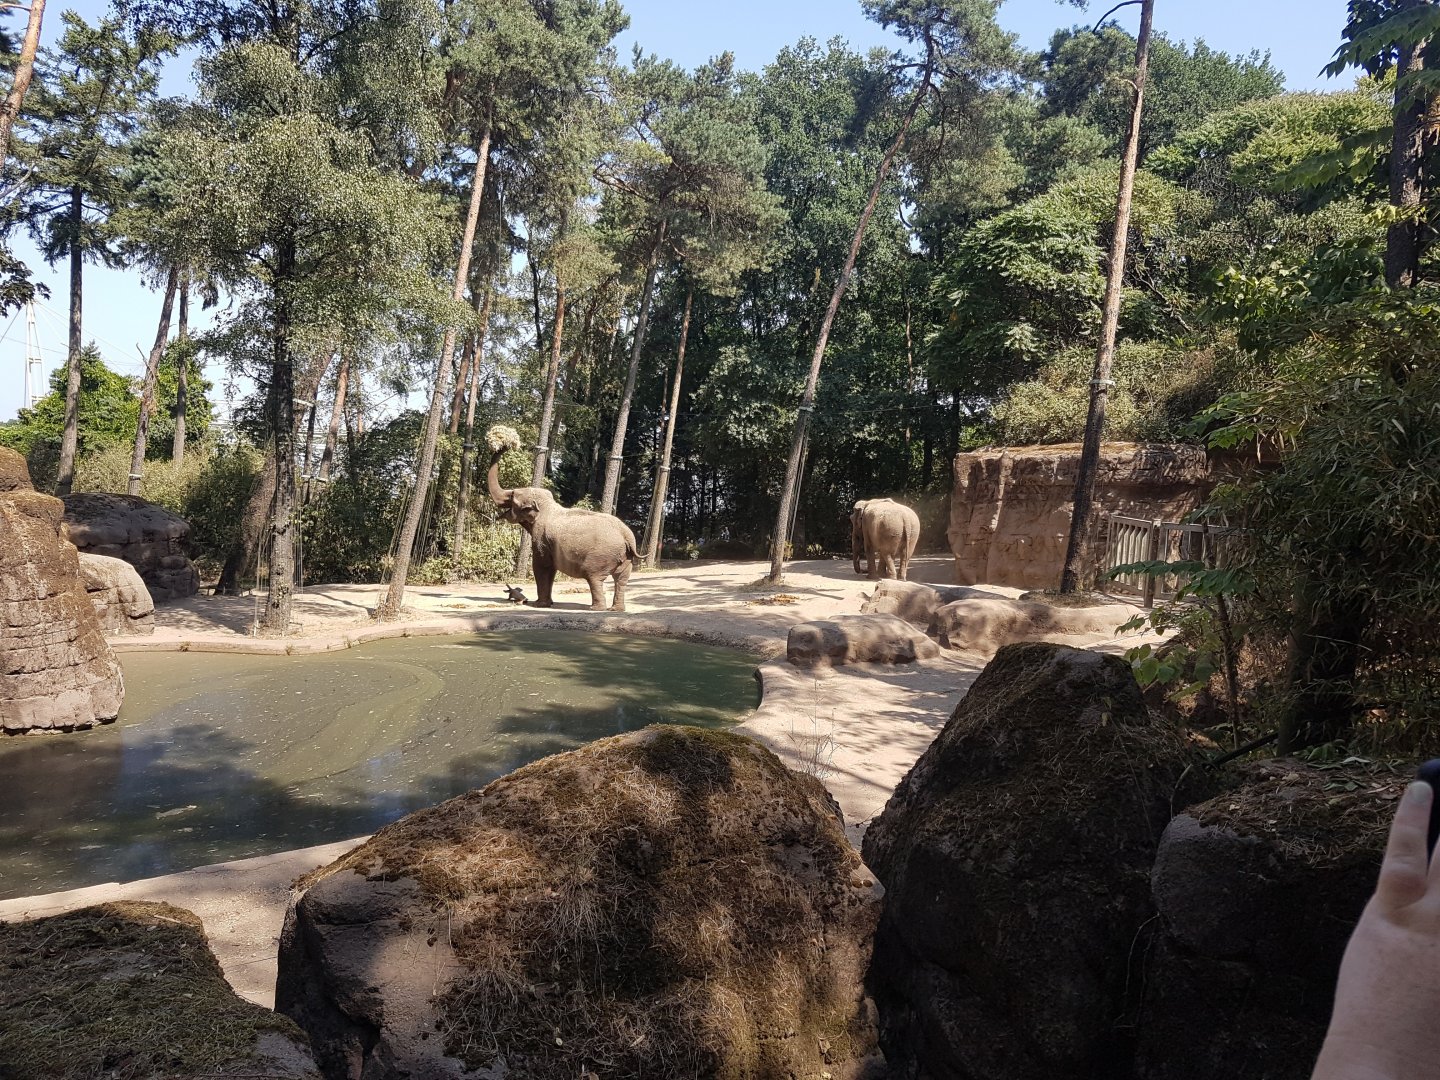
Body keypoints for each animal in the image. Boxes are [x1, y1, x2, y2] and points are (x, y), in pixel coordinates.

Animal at [487, 449, 637, 611]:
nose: (502, 447)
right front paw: (549, 603)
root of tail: (627, 535)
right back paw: (616, 609)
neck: (546, 506)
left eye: (512, 496)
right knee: (621, 579)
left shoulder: (541, 540)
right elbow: (551, 570)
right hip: (626, 558)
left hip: (601, 556)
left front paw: (539, 605)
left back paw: (596, 608)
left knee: (594, 577)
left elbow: (542, 567)